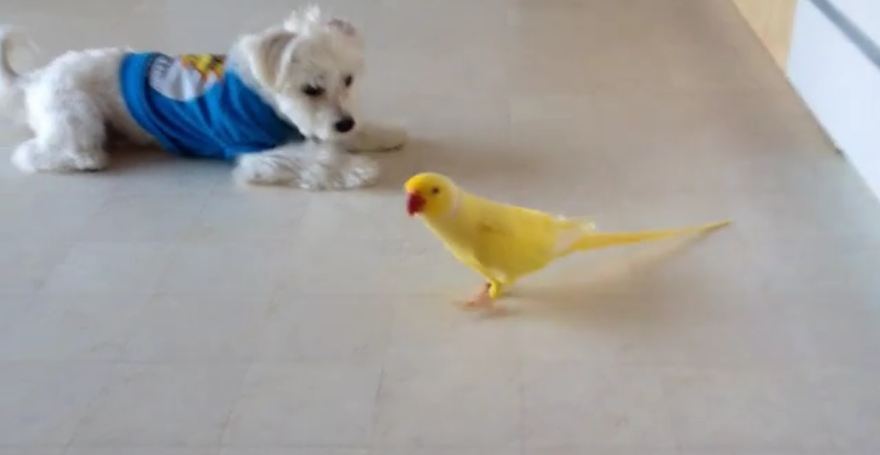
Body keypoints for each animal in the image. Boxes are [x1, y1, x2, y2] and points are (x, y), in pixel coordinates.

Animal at [0, 8, 406, 191]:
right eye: (311, 89)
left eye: (348, 80)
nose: (346, 122)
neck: (259, 95)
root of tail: (36, 79)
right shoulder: (251, 151)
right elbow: (311, 156)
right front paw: (354, 168)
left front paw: (380, 134)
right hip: (76, 117)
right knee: (32, 153)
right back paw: (86, 159)